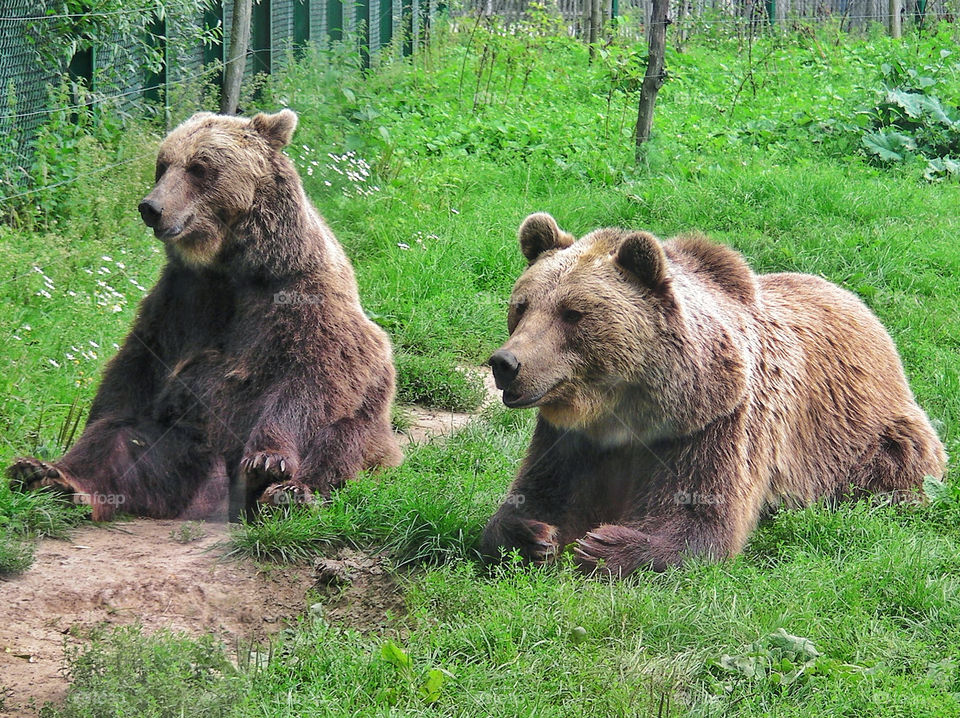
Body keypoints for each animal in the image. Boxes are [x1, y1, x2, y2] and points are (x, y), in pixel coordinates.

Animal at [6, 109, 402, 520]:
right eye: (163, 165)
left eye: (199, 167)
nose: (151, 207)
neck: (231, 265)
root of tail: (215, 490)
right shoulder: (181, 299)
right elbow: (133, 369)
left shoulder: (301, 294)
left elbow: (313, 374)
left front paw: (268, 460)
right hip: (178, 445)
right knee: (120, 440)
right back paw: (48, 476)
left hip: (369, 432)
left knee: (340, 438)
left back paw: (289, 491)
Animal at [484, 211, 948, 576]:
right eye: (522, 305)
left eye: (573, 314)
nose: (506, 363)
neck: (626, 411)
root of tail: (860, 304)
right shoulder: (573, 439)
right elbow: (537, 493)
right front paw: (533, 533)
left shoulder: (713, 424)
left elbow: (700, 518)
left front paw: (604, 546)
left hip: (867, 433)